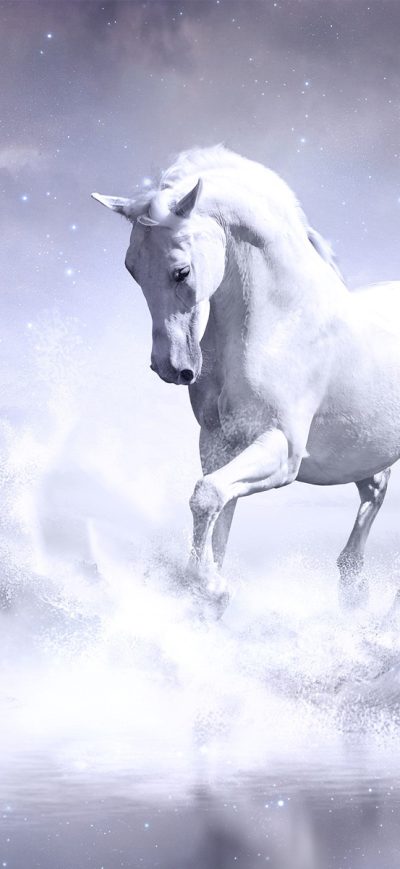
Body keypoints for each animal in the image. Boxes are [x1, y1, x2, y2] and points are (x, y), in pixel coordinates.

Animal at [92, 145, 400, 615]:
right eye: (131, 269)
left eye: (181, 271)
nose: (171, 367)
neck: (281, 322)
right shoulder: (220, 445)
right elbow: (218, 507)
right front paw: (211, 590)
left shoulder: (281, 449)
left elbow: (206, 496)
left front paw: (209, 586)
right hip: (362, 451)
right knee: (375, 491)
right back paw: (353, 588)